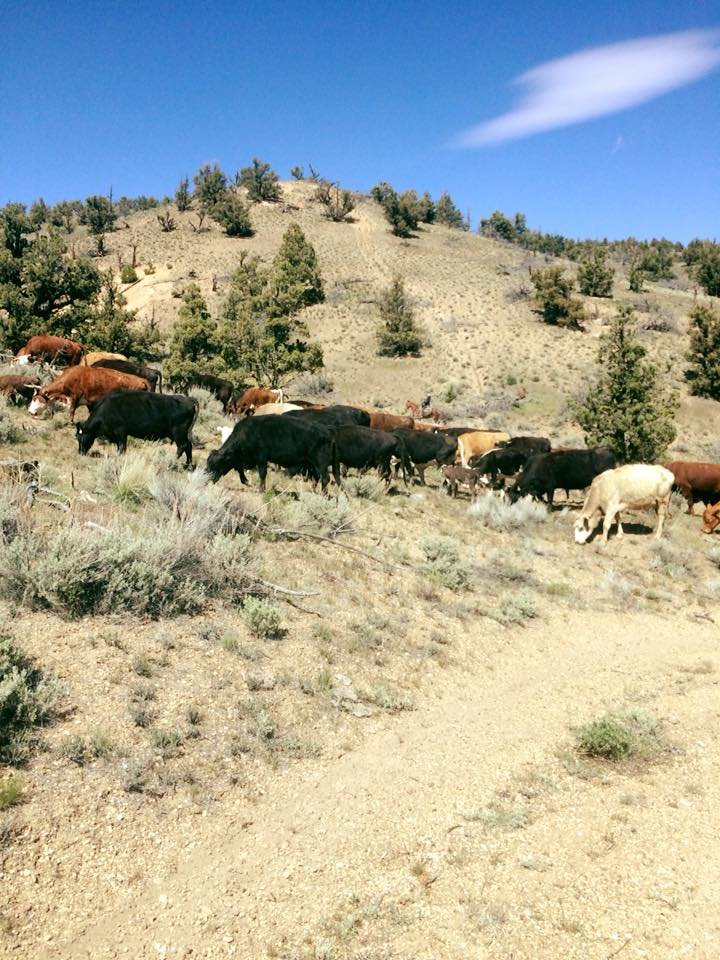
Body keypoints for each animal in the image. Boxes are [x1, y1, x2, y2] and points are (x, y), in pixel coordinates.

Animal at [206, 415, 339, 494]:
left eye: (215, 465)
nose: (207, 478)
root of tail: (327, 431)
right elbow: (240, 470)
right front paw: (247, 482)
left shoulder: (261, 458)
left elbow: (262, 474)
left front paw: (261, 490)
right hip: (312, 464)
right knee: (317, 478)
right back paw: (313, 492)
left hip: (320, 463)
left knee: (325, 478)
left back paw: (323, 495)